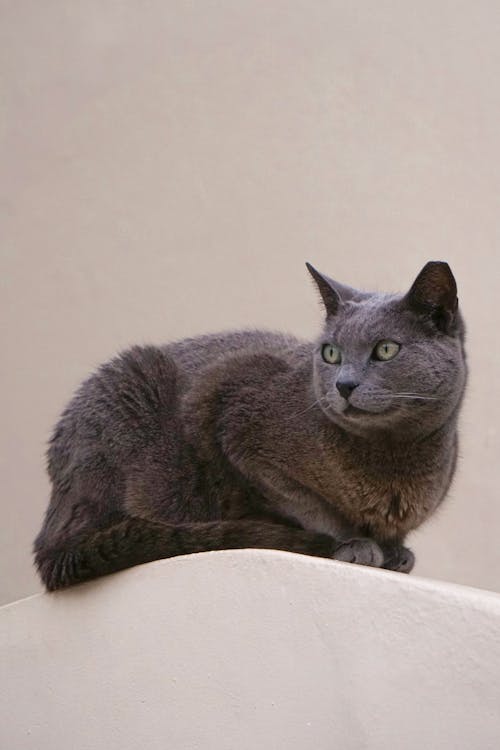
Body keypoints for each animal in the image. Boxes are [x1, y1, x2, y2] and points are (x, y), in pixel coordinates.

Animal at [33, 262, 466, 592]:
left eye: (385, 349)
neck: (393, 457)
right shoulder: (234, 418)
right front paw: (353, 543)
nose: (343, 384)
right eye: (330, 353)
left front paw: (395, 551)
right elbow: (308, 505)